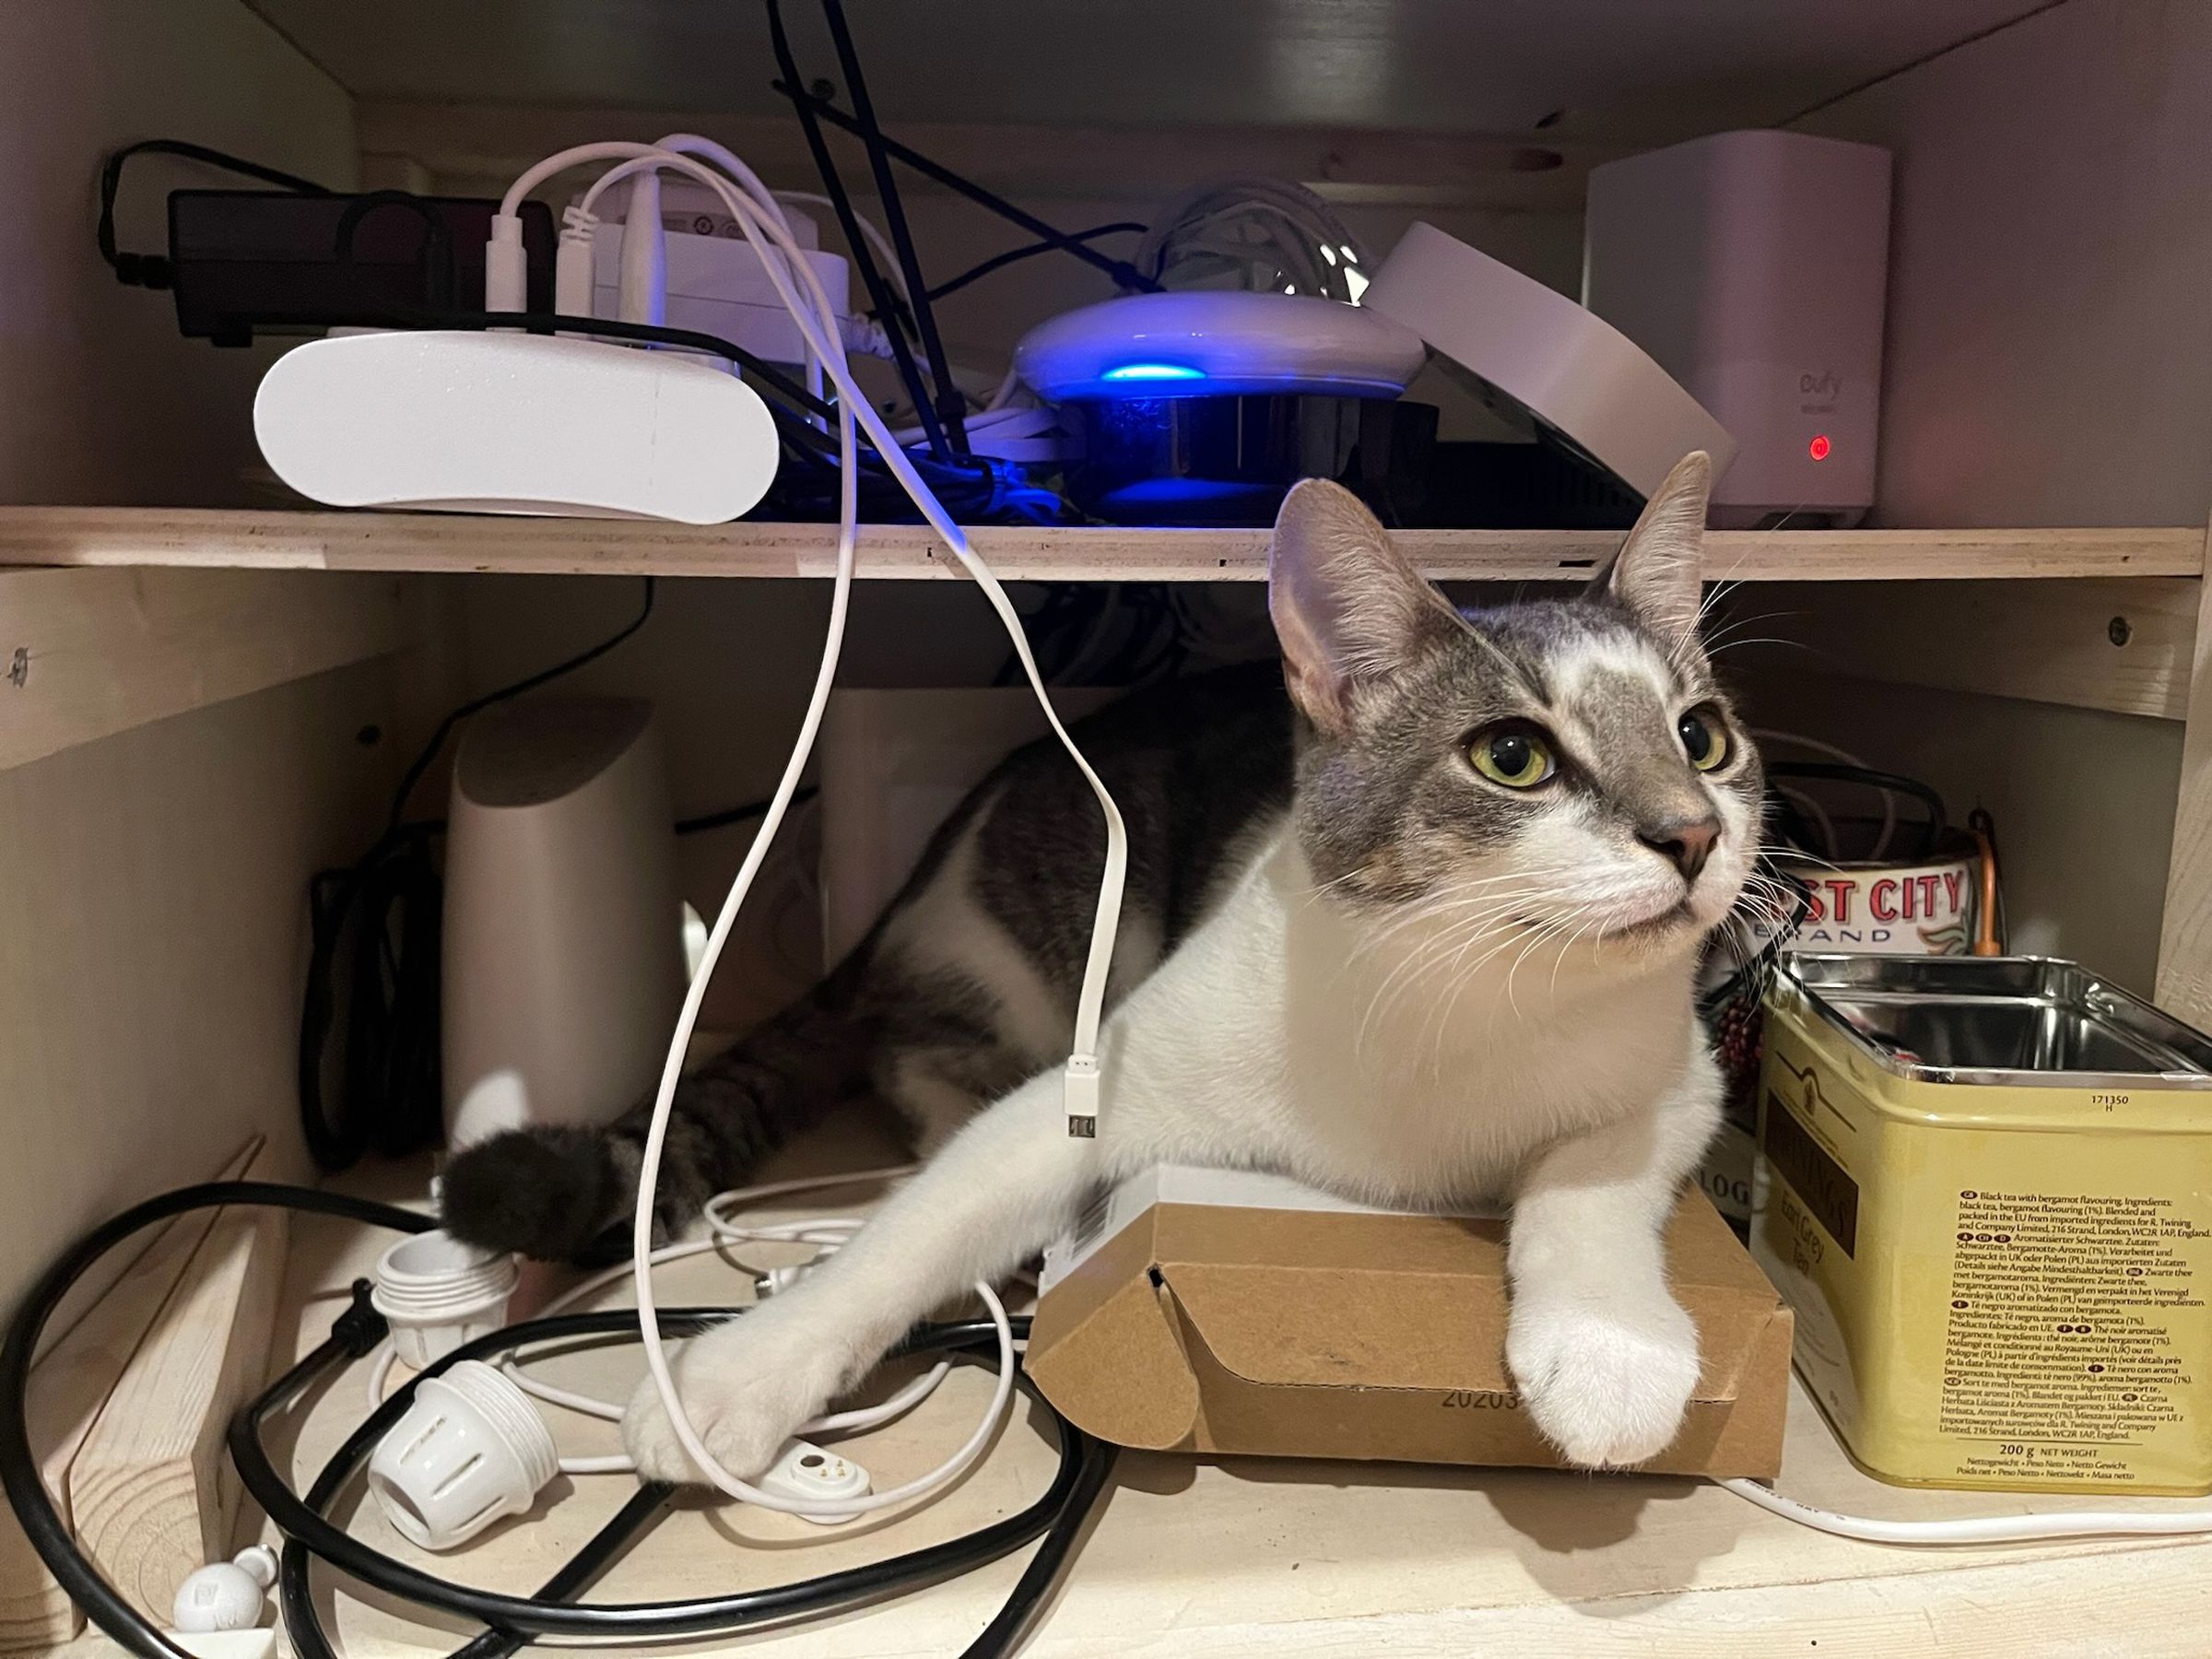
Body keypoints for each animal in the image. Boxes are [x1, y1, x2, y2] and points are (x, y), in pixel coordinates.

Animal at [444, 449, 1760, 1477]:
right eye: (1512, 757)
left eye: (1703, 737)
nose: (1693, 835)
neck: (1460, 989)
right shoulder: (1104, 1079)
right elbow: (918, 1228)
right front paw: (735, 1377)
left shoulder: (1681, 1076)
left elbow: (1591, 1169)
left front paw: (1610, 1348)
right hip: (1058, 921)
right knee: (917, 1048)